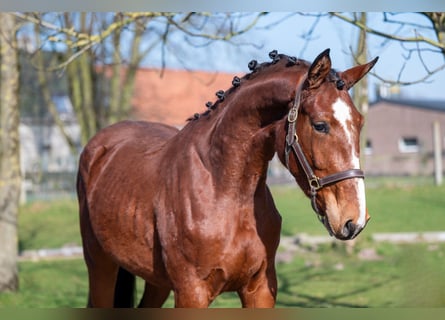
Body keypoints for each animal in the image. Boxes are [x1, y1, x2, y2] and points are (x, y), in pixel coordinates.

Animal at [78, 48, 376, 308]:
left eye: (360, 123)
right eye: (320, 125)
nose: (354, 220)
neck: (225, 190)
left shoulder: (260, 290)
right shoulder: (192, 293)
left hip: (156, 281)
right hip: (101, 264)